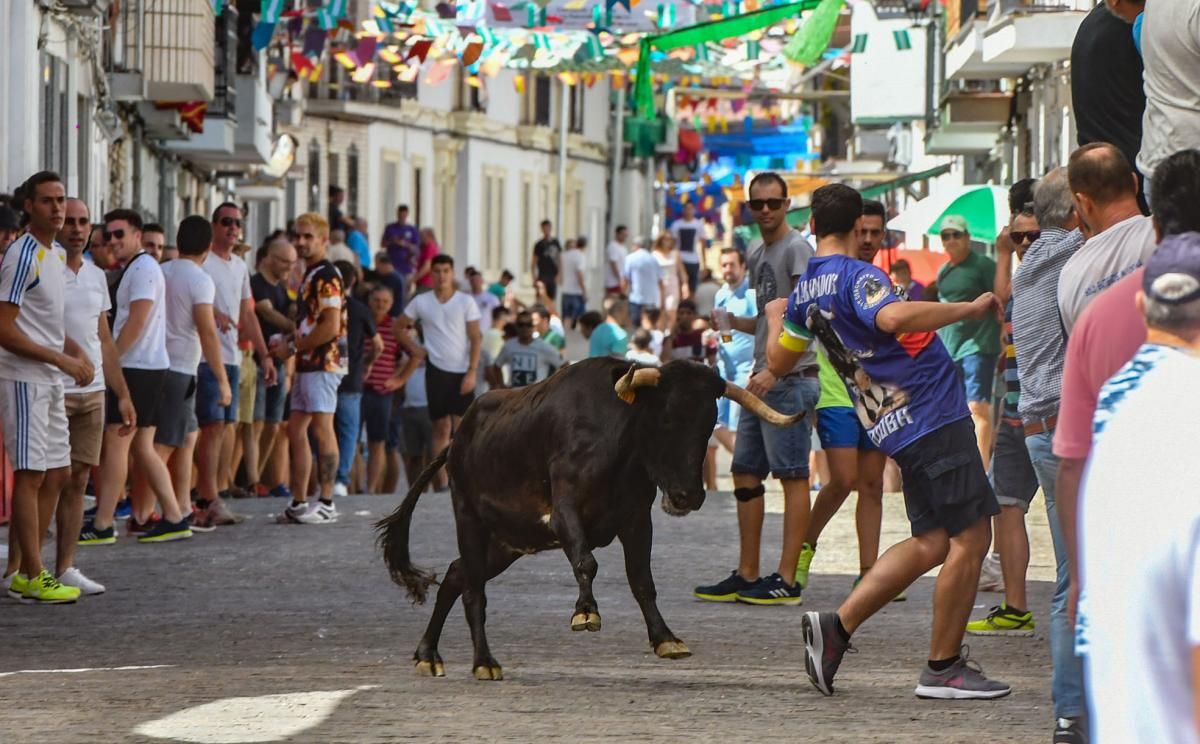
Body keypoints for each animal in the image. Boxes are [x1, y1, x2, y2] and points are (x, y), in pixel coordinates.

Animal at [379, 360, 801, 681]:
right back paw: (484, 662)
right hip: (469, 517)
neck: (618, 445)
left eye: (709, 422)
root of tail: (458, 438)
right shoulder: (564, 513)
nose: (689, 496)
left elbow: (642, 582)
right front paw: (585, 612)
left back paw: (428, 654)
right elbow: (586, 562)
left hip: (506, 542)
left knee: (456, 575)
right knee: (473, 591)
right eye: (665, 419)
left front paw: (665, 638)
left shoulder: (637, 520)